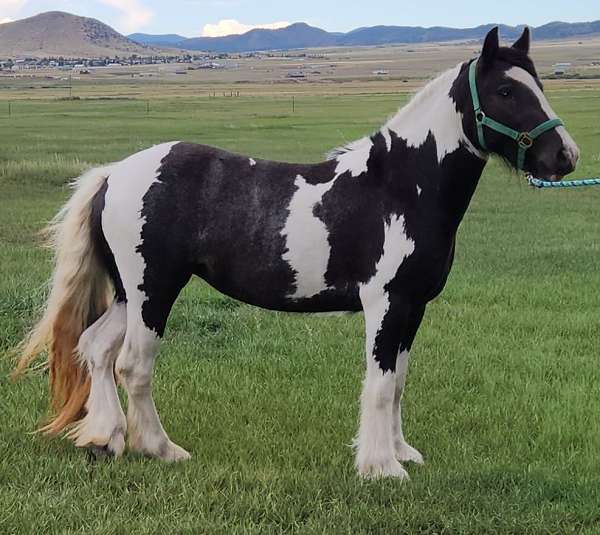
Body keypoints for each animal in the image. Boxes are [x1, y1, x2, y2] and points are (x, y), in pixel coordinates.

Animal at [12, 28, 576, 482]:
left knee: (94, 348)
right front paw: (380, 469)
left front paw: (401, 453)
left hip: (131, 295)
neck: (398, 187)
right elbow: (379, 384)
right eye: (506, 90)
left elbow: (398, 383)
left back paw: (105, 439)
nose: (565, 157)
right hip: (154, 291)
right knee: (132, 363)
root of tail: (114, 174)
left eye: (539, 86)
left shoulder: (412, 308)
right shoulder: (385, 305)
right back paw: (161, 449)